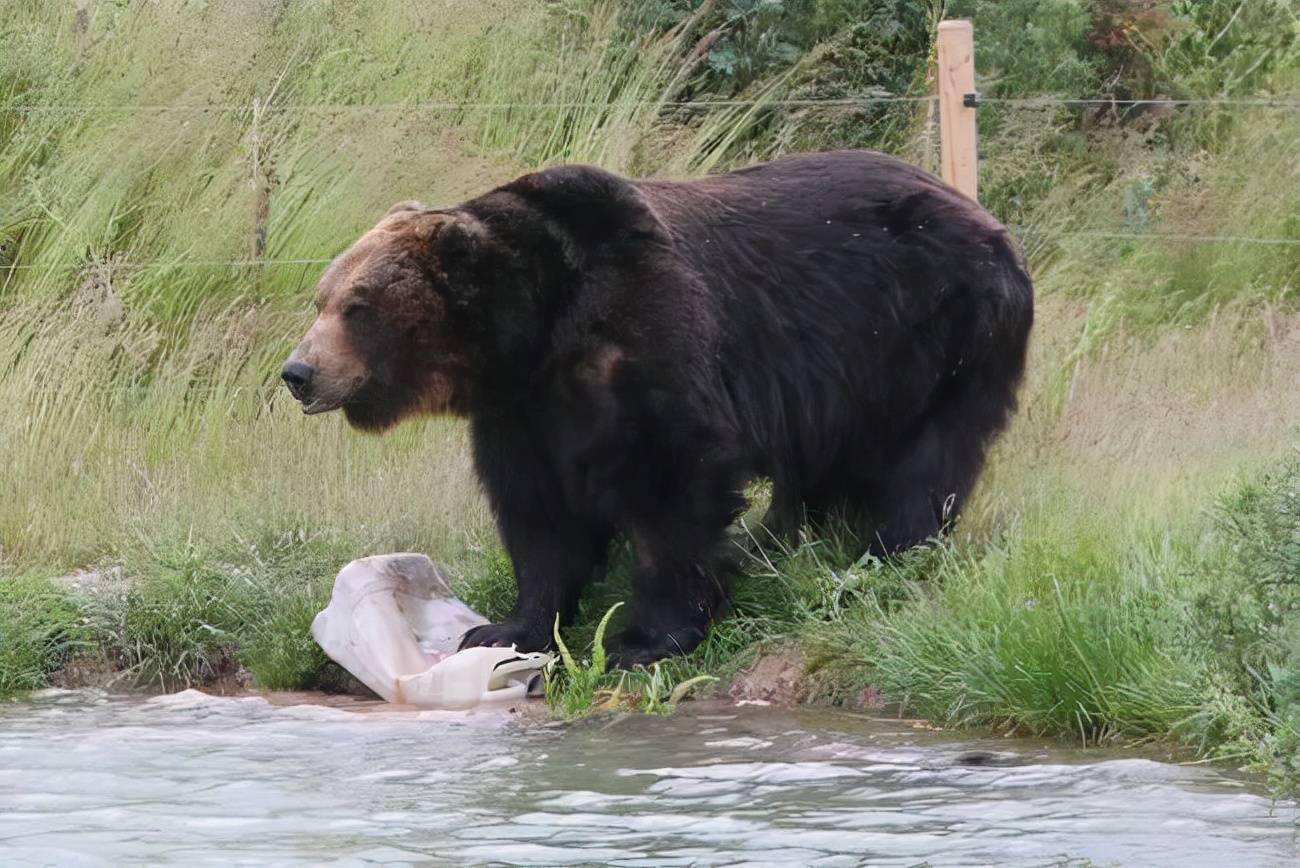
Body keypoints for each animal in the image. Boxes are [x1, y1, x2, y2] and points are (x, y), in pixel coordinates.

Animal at [284, 149, 1034, 665]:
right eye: (322, 298)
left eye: (358, 306)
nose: (298, 372)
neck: (543, 327)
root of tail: (992, 221)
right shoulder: (524, 411)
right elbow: (537, 513)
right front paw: (506, 628)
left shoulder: (650, 337)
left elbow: (672, 484)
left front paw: (641, 638)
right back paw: (783, 541)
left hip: (937, 333)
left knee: (926, 459)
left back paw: (885, 553)